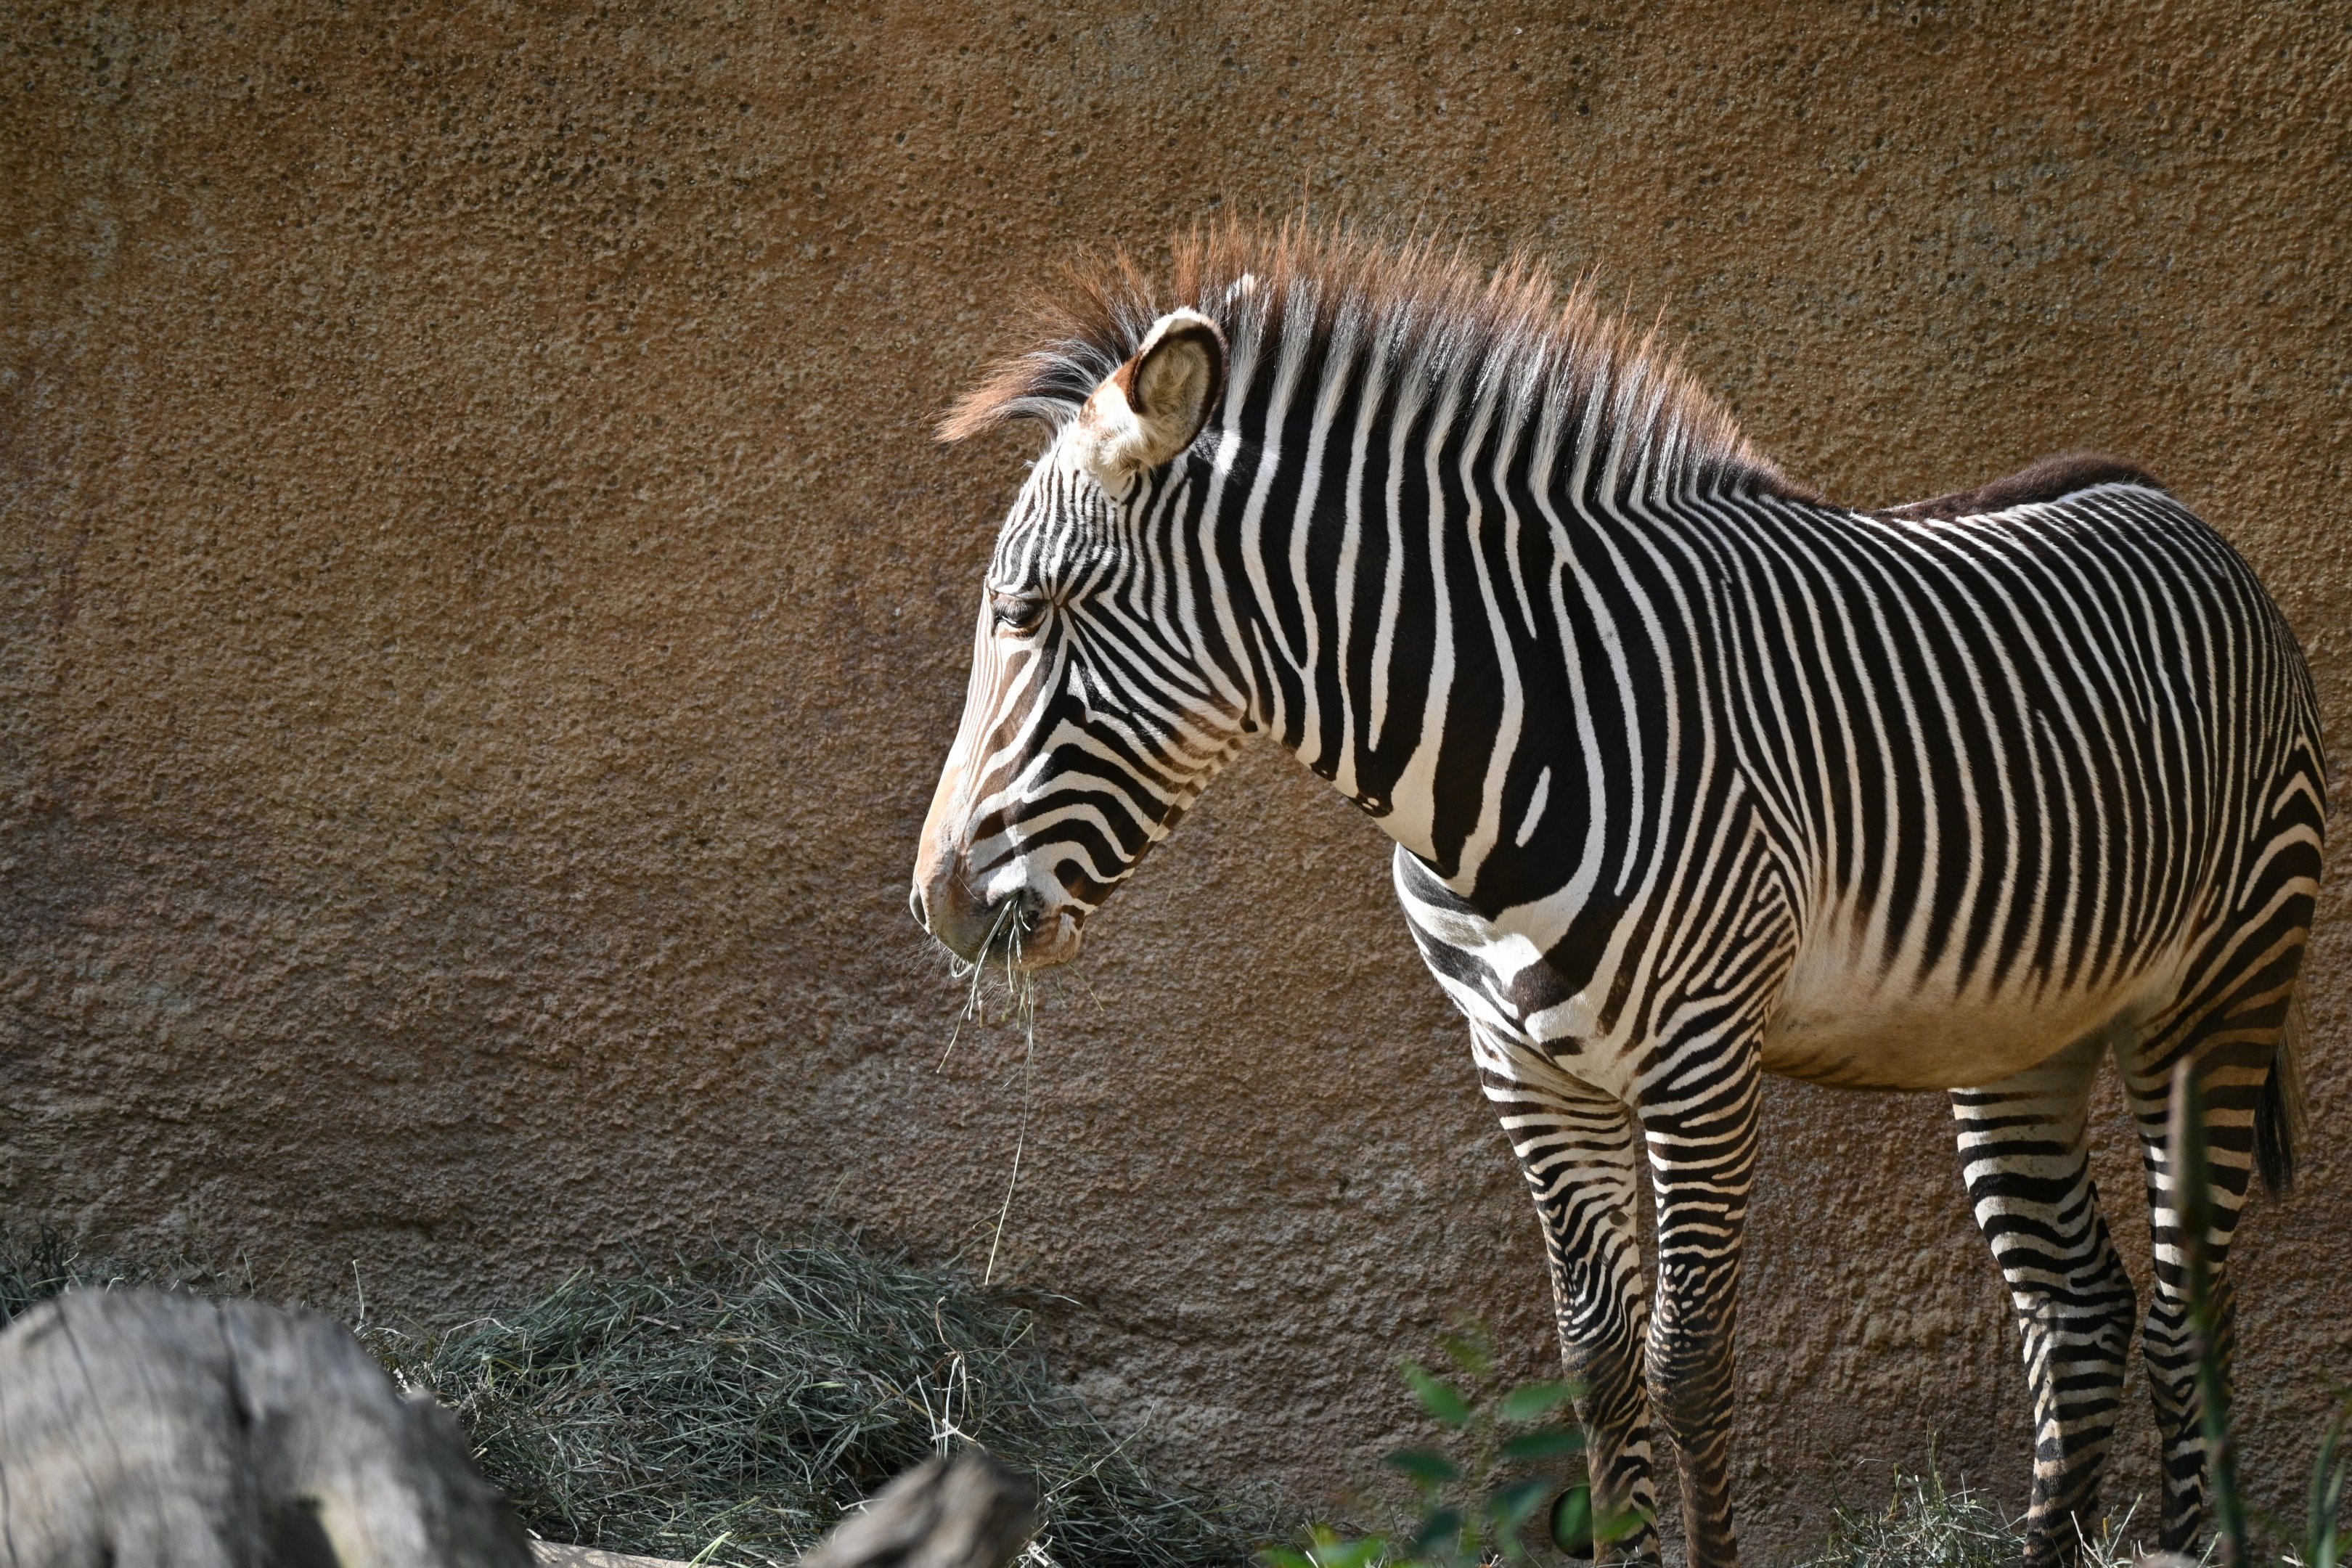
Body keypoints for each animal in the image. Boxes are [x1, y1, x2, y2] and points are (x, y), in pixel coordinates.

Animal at [907, 225, 2324, 1567]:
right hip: (2020, 1034)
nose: (936, 907)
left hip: (2221, 989)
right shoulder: (1524, 1067)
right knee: (2080, 1313)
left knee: (2187, 1307)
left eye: (1022, 613)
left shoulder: (1703, 1059)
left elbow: (1685, 1366)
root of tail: (2179, 510)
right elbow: (1594, 1369)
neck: (1495, 753)